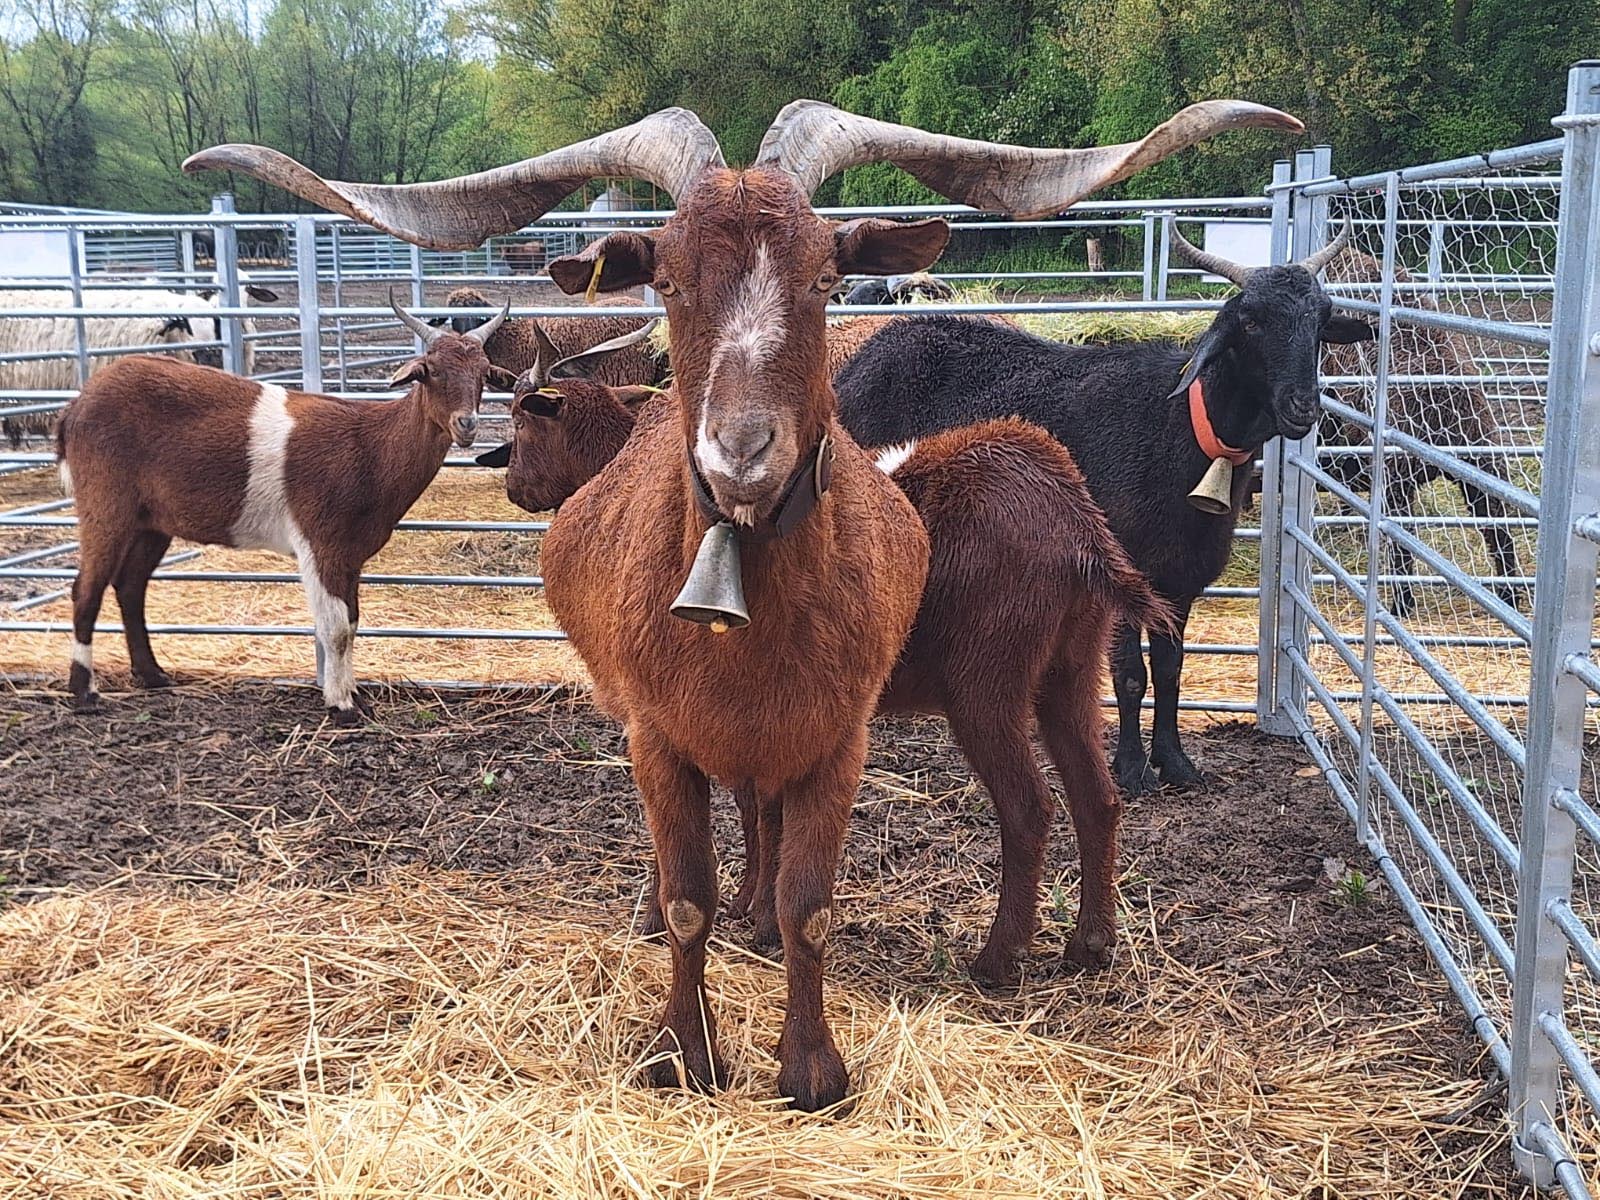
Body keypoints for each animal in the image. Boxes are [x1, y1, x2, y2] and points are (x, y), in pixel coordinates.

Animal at [55, 297, 511, 723]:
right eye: (430, 371)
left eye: (483, 373)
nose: (466, 425)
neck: (369, 447)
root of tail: (76, 407)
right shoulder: (320, 541)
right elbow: (336, 628)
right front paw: (342, 705)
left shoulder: (350, 553)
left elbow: (353, 621)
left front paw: (353, 694)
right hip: (105, 503)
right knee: (87, 589)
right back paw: (85, 693)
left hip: (152, 522)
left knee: (130, 586)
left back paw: (152, 675)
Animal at [493, 369, 1170, 983]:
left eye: (523, 423)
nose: (513, 487)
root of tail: (1077, 522)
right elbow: (757, 805)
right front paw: (754, 907)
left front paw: (712, 918)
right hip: (1071, 670)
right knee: (1097, 797)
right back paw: (1090, 945)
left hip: (987, 684)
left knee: (1029, 808)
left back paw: (997, 959)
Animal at [834, 222, 1371, 795]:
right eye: (1250, 320)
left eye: (1321, 318)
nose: (1303, 407)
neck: (1181, 429)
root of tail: (858, 364)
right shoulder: (1122, 570)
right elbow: (1131, 675)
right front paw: (1133, 770)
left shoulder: (1179, 578)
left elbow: (1170, 669)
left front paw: (1175, 762)